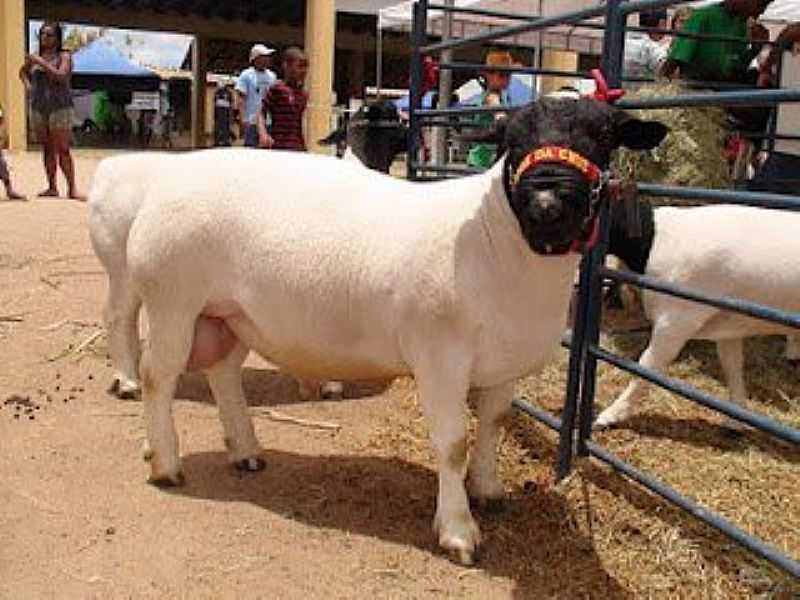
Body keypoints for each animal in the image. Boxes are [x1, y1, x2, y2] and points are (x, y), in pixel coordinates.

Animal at [86, 96, 664, 564]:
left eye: (602, 137)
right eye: (511, 141)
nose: (546, 206)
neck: (494, 240)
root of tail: (165, 180)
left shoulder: (503, 361)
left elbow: (493, 425)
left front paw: (488, 489)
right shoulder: (440, 357)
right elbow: (452, 442)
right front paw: (458, 530)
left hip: (227, 313)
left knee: (223, 372)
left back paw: (245, 451)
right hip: (172, 300)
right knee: (159, 375)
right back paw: (165, 460)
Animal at [592, 204, 800, 428]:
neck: (654, 240)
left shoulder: (676, 320)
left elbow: (646, 366)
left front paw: (611, 415)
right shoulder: (728, 323)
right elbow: (732, 366)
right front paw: (736, 419)